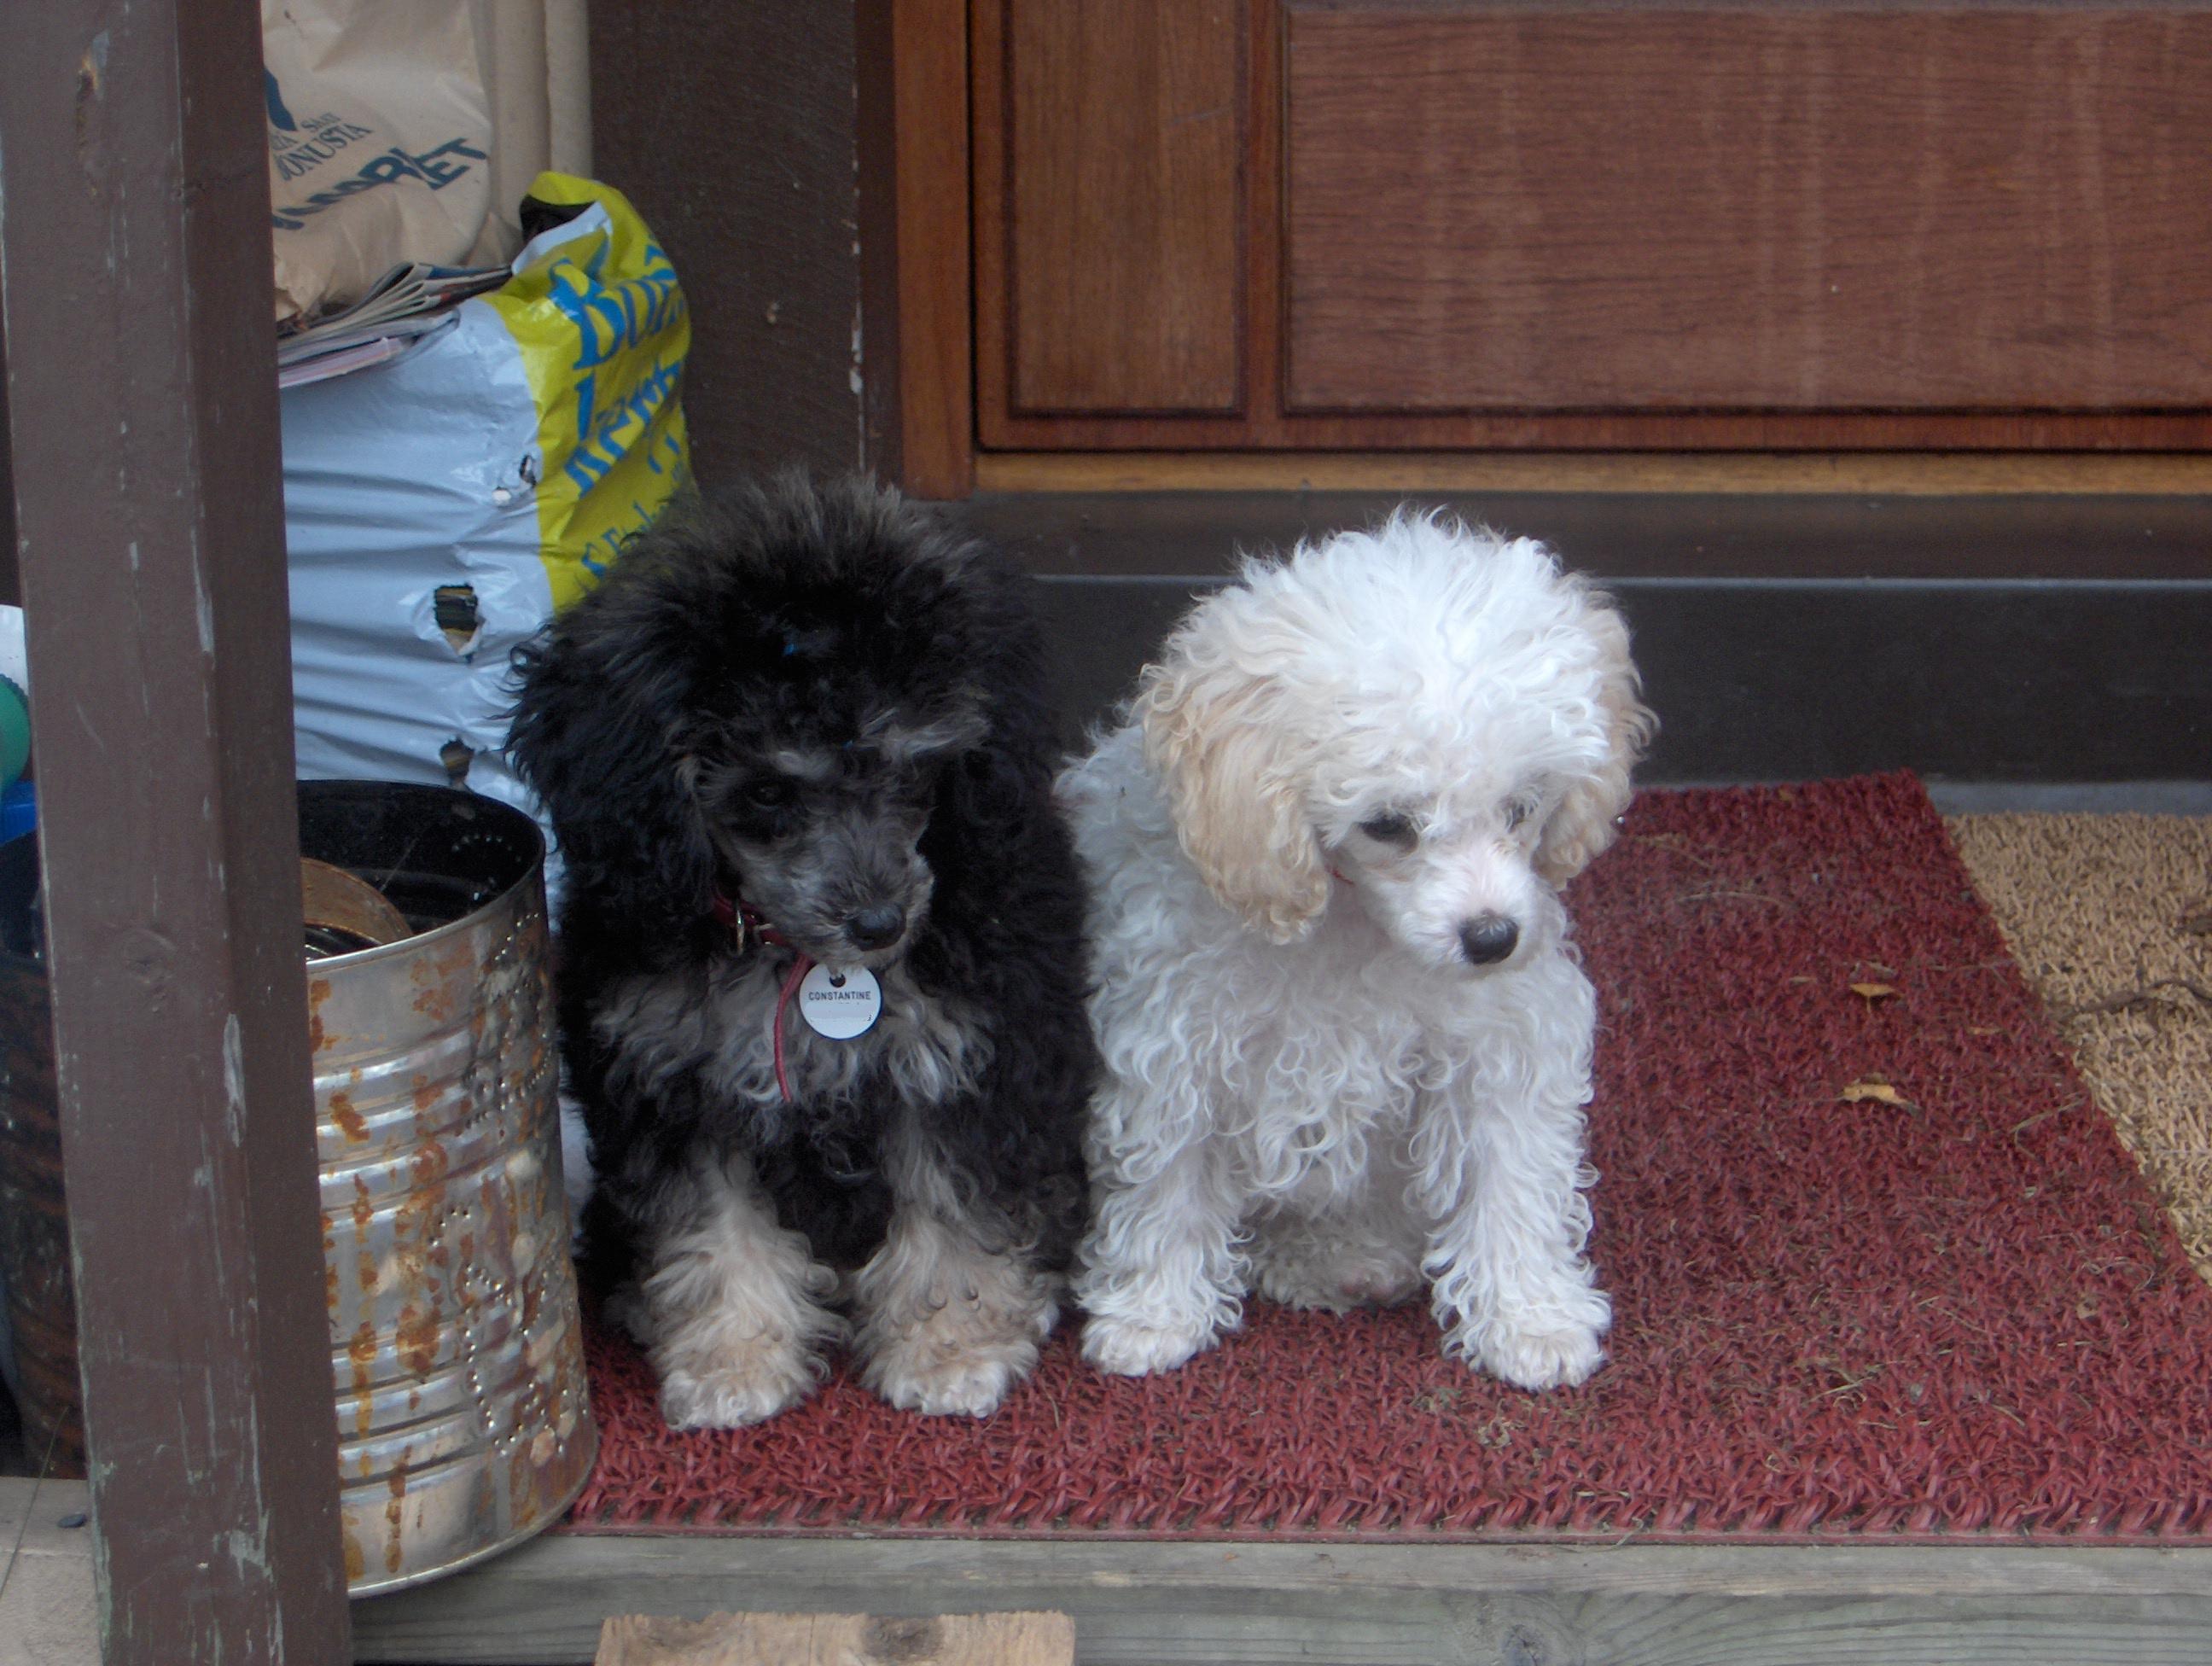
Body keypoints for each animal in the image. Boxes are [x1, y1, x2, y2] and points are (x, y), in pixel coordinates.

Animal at [502, 473, 1088, 1424]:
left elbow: (955, 1220)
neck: (788, 951)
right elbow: (714, 1233)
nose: (880, 924)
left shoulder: (961, 1064)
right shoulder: (675, 1084)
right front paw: (733, 1361)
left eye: (912, 770)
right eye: (769, 792)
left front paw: (949, 1350)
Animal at [1062, 510, 1654, 1389]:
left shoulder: (1499, 1043)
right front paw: (1152, 1312)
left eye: (1521, 809)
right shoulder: (1175, 1044)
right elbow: (1167, 1179)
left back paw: (1345, 1258)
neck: (1352, 923)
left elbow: (1511, 1176)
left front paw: (1530, 1317)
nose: (1492, 937)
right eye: (1387, 826)